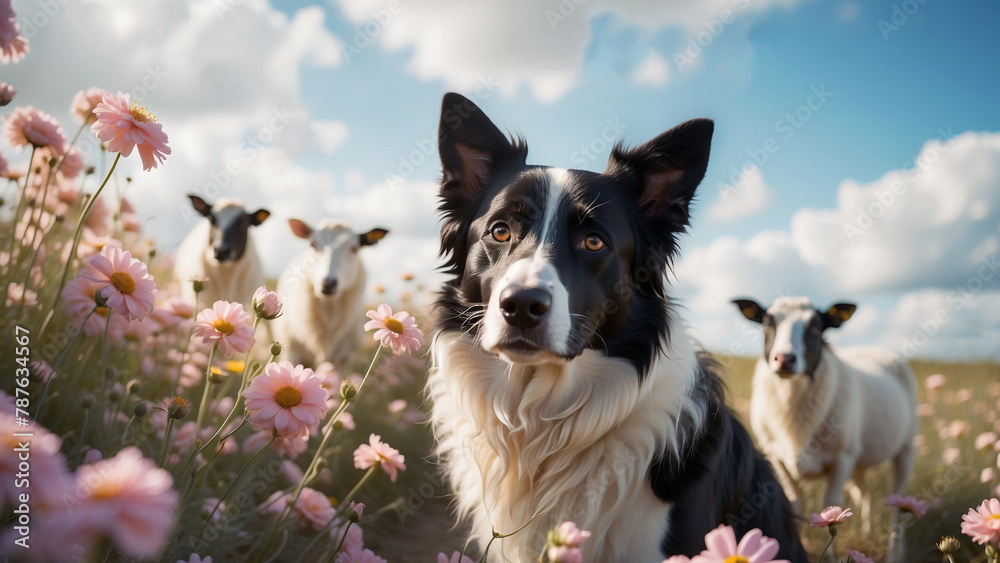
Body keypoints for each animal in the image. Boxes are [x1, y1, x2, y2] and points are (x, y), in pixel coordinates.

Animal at [732, 296, 916, 556]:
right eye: (767, 323)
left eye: (817, 328)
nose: (785, 359)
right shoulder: (776, 458)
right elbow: (795, 504)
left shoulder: (842, 459)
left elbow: (830, 506)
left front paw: (830, 555)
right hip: (859, 460)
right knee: (866, 491)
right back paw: (867, 530)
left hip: (905, 449)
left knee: (896, 502)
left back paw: (895, 552)